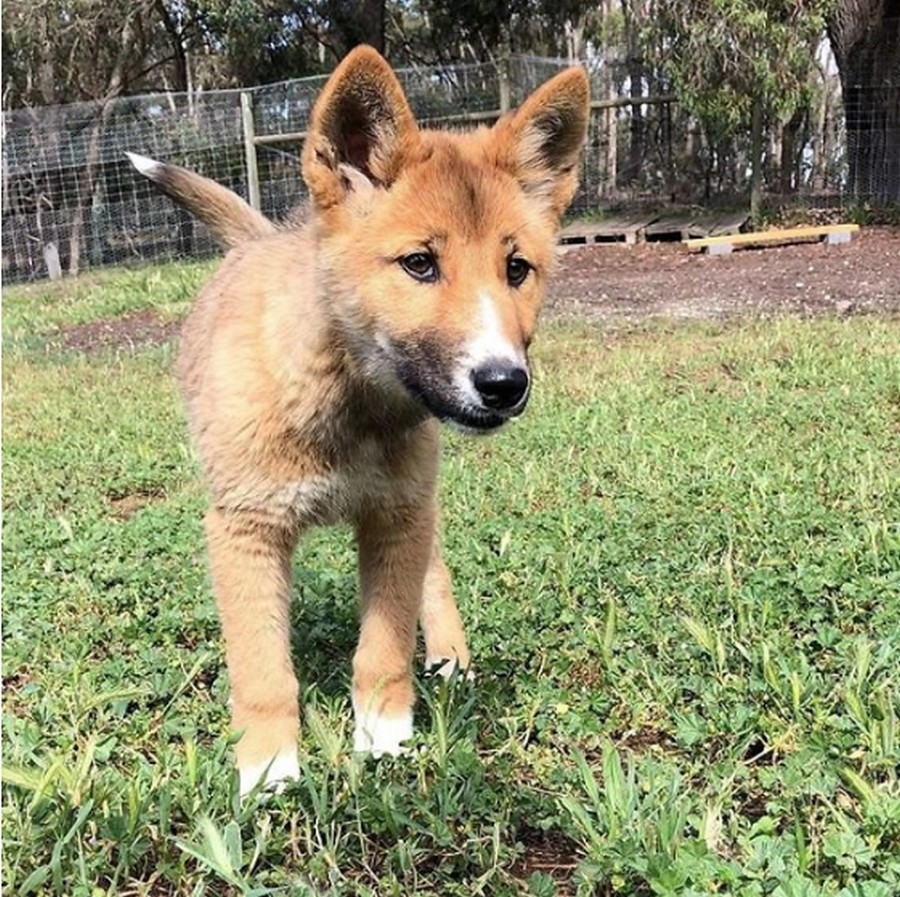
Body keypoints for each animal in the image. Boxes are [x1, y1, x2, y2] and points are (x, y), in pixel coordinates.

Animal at [128, 45, 592, 796]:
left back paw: (450, 657)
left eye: (518, 268)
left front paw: (384, 738)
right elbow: (262, 669)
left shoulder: (397, 517)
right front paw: (268, 768)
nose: (504, 384)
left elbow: (385, 646)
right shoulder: (244, 531)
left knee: (435, 572)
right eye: (419, 263)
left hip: (417, 501)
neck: (345, 400)